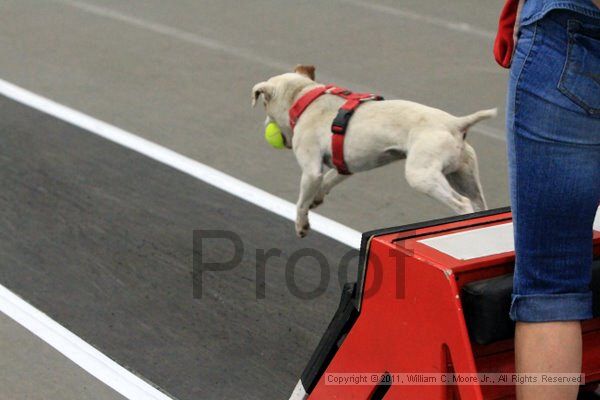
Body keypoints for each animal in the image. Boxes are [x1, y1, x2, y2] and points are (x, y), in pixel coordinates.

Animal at [251, 65, 494, 238]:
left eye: (264, 104)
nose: (265, 127)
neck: (305, 99)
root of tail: (456, 123)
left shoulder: (311, 171)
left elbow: (301, 203)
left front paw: (301, 225)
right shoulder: (344, 167)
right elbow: (327, 181)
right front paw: (317, 198)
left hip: (422, 176)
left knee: (462, 204)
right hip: (464, 178)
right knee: (479, 204)